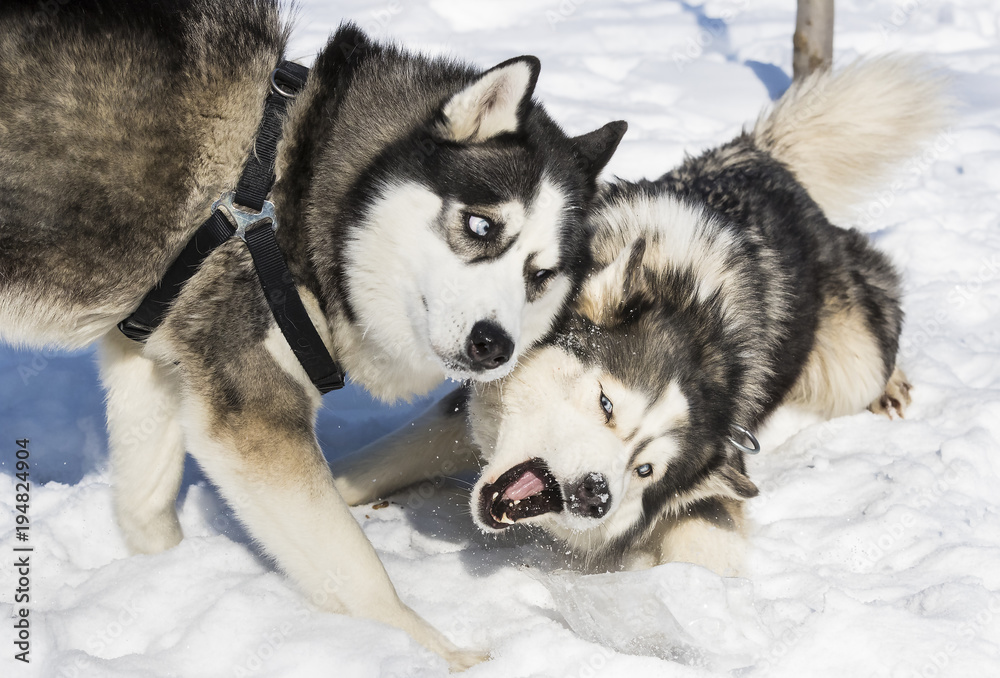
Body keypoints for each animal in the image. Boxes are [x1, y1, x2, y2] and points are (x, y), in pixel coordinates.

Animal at [0, 0, 624, 668]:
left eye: (540, 275)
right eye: (481, 226)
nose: (494, 345)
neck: (292, 187)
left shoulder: (154, 354)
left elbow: (146, 504)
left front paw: (159, 574)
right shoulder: (255, 413)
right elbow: (357, 569)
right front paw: (435, 653)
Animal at [334, 59, 944, 580]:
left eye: (644, 470)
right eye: (606, 403)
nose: (596, 493)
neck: (690, 306)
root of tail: (762, 161)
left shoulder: (713, 490)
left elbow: (702, 551)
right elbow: (374, 461)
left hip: (852, 363)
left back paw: (893, 384)